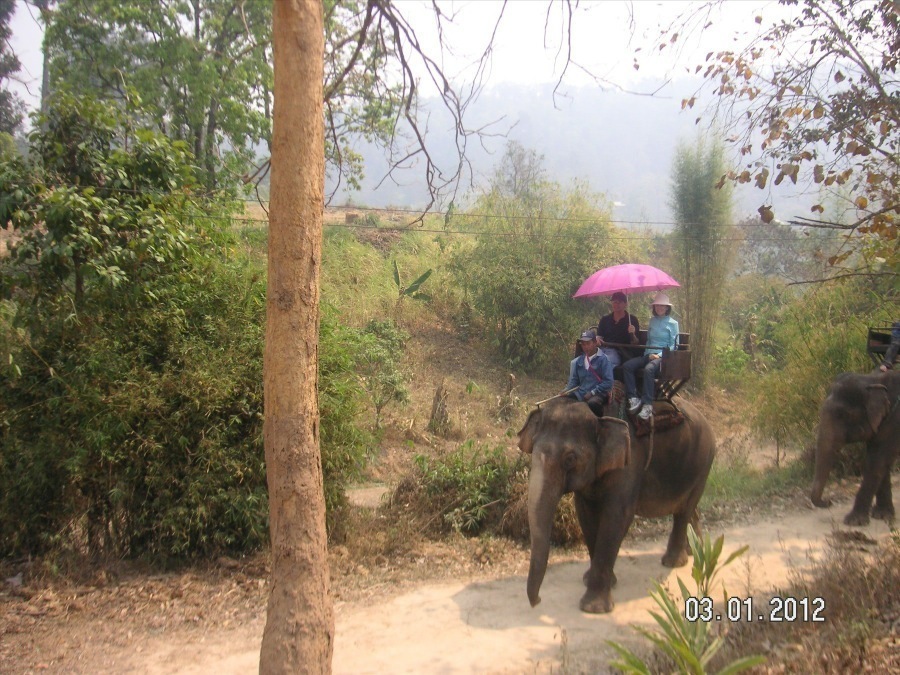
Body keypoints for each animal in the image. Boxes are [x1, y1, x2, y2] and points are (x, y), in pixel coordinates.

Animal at [512, 398, 716, 616]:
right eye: (533, 450)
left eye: (570, 459)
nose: (538, 601)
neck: (599, 416)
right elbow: (586, 515)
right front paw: (596, 580)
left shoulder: (630, 462)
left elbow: (616, 518)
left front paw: (594, 607)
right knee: (689, 509)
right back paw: (694, 551)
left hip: (703, 464)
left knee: (684, 511)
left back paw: (674, 561)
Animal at [808, 368, 900, 524]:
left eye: (842, 415)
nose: (829, 501)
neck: (873, 381)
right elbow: (880, 461)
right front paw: (882, 516)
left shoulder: (894, 421)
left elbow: (878, 460)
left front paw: (853, 521)